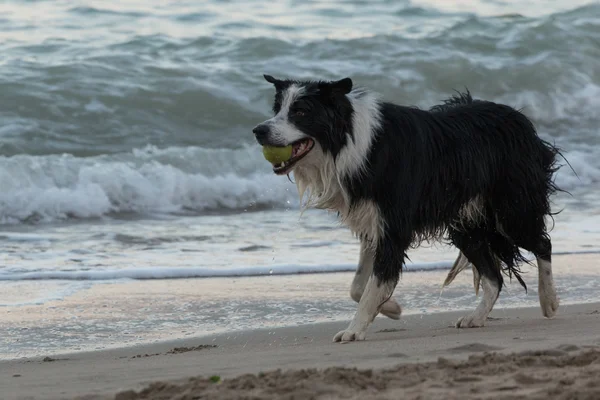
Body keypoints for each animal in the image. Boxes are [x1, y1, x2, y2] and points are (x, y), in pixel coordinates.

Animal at [253, 76, 564, 344]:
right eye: (277, 110)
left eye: (301, 112)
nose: (259, 131)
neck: (350, 143)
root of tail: (520, 119)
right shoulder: (373, 222)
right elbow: (360, 286)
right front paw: (390, 307)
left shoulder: (393, 225)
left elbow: (373, 283)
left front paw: (354, 330)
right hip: (466, 223)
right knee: (494, 277)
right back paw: (476, 317)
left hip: (511, 209)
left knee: (542, 243)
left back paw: (548, 300)